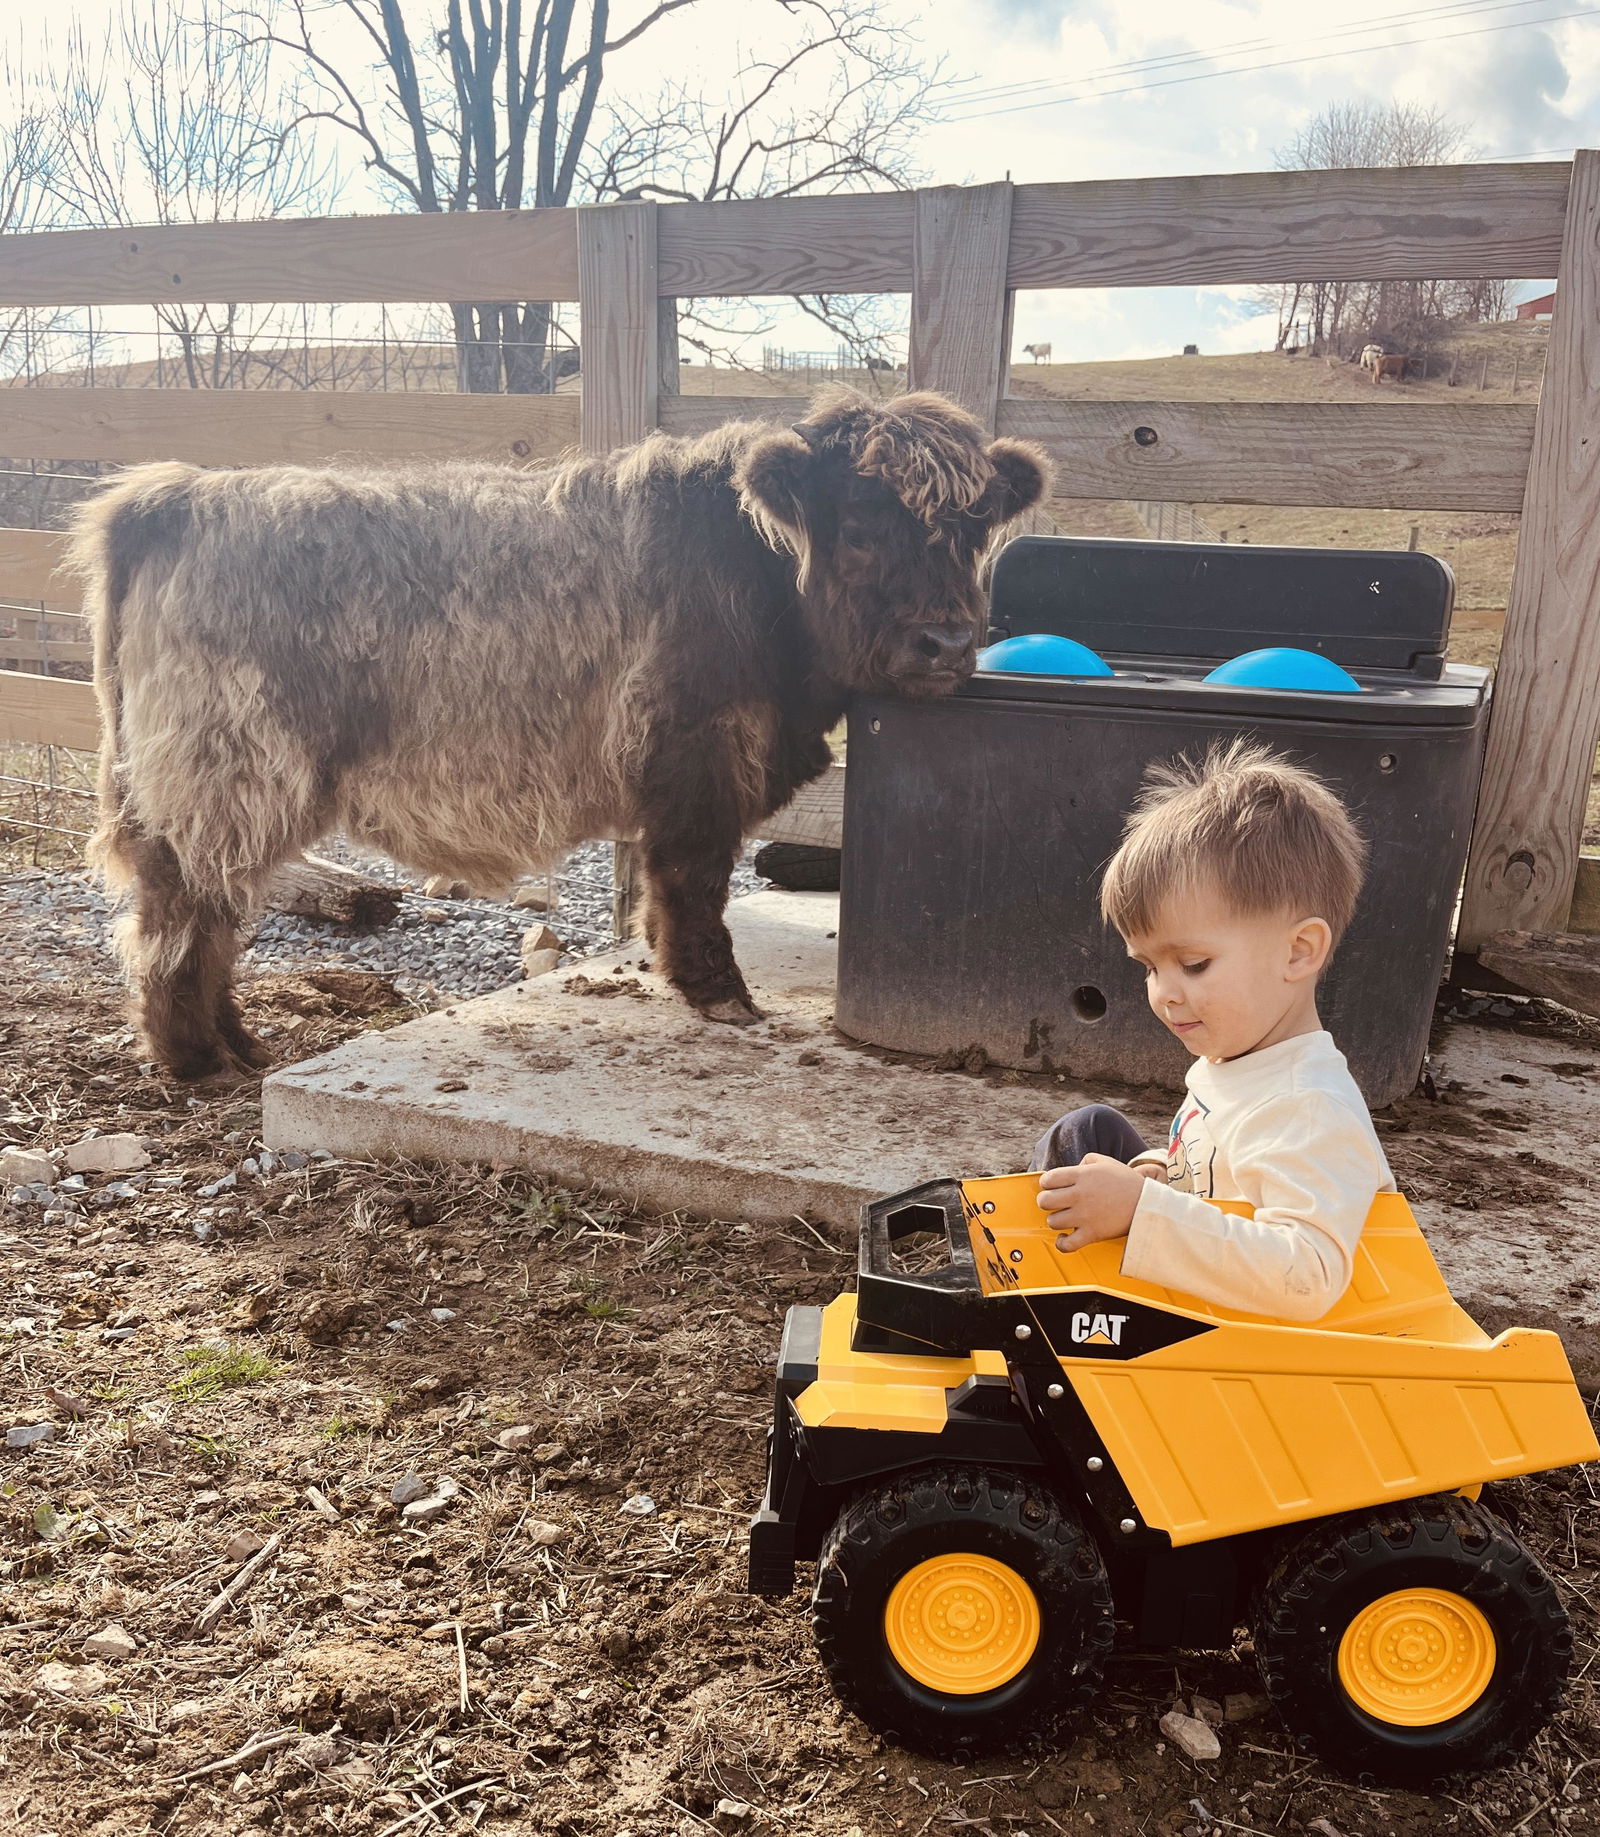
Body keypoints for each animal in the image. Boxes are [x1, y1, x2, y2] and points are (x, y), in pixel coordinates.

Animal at [69, 388, 1050, 1080]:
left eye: (973, 532)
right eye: (858, 528)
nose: (946, 641)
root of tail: (183, 493)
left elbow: (666, 887)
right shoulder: (696, 753)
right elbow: (693, 882)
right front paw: (721, 995)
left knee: (209, 917)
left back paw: (236, 1045)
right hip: (225, 777)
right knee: (181, 915)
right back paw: (198, 1057)